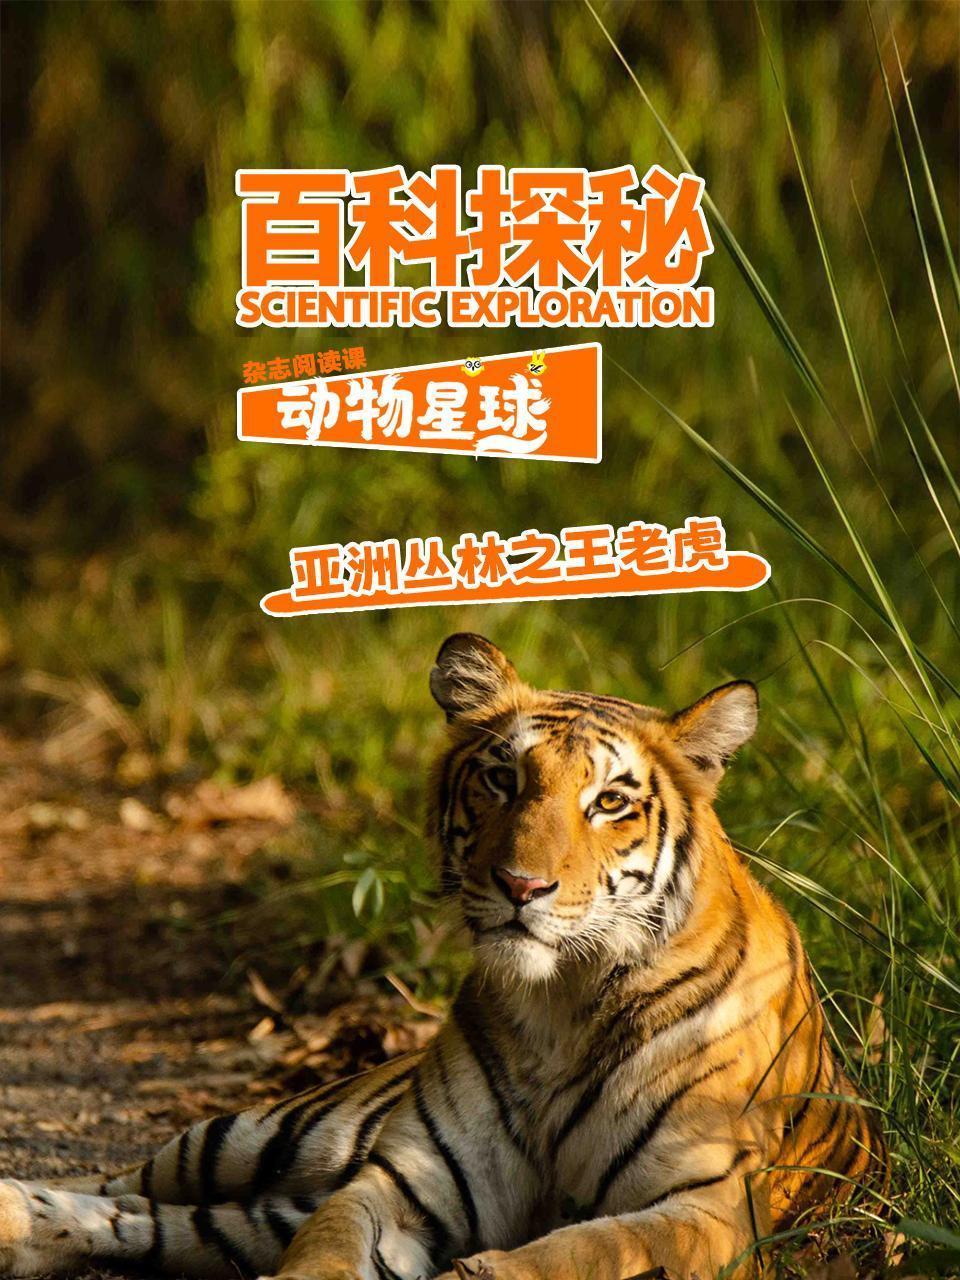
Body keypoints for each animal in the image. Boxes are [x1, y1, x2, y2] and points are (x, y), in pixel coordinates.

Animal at [0, 632, 886, 1280]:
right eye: (502, 777)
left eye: (609, 801)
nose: (522, 884)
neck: (561, 1004)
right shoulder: (404, 1179)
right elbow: (327, 1242)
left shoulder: (706, 1205)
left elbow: (586, 1248)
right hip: (256, 1135)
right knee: (128, 1187)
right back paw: (19, 1216)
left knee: (171, 1219)